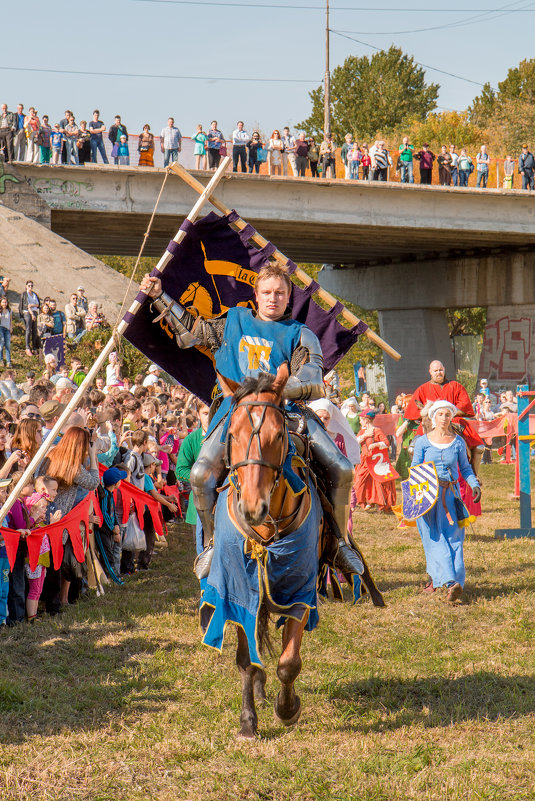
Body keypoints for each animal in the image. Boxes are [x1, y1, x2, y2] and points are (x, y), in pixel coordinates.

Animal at [218, 362, 318, 736]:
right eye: (232, 435)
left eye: (277, 436)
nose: (252, 508)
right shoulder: (236, 588)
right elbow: (246, 660)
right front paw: (248, 720)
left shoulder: (300, 590)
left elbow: (289, 662)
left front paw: (287, 708)